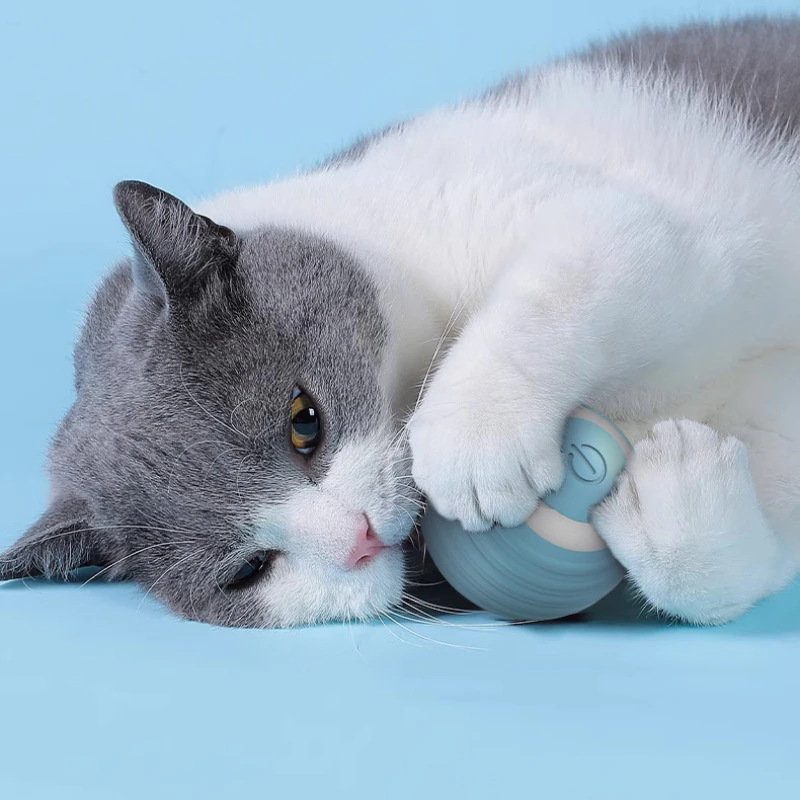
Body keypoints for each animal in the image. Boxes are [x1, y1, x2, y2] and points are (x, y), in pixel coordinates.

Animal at [1, 15, 800, 628]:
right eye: (249, 569)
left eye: (304, 421)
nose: (354, 540)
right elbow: (753, 543)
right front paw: (676, 485)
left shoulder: (619, 220)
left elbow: (565, 282)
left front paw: (475, 440)